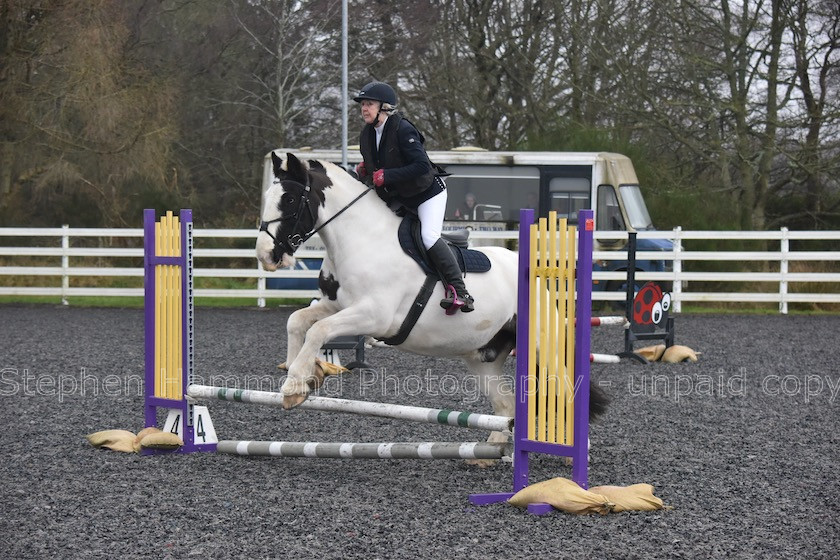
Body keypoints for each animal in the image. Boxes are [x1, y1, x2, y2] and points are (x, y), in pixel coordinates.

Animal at [258, 153, 612, 450]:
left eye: (290, 199)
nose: (265, 256)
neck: (361, 239)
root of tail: (536, 274)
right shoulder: (337, 306)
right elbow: (299, 322)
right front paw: (301, 374)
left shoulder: (374, 316)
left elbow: (318, 330)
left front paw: (295, 384)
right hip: (484, 358)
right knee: (506, 404)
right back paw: (493, 447)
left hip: (541, 346)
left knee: (565, 391)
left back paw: (577, 452)